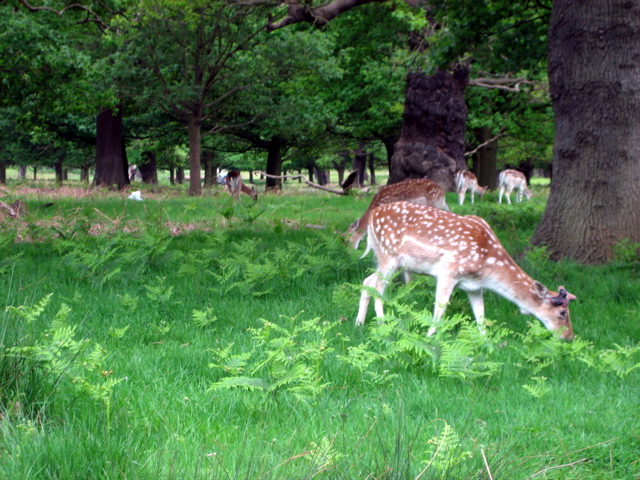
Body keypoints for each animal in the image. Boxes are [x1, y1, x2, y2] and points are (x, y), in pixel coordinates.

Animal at [355, 202, 576, 341]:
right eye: (562, 313)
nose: (569, 337)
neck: (486, 268)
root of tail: (372, 216)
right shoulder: (448, 272)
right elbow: (440, 310)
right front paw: (429, 337)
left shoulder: (474, 286)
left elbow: (481, 316)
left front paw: (486, 342)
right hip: (389, 255)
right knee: (378, 287)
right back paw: (382, 325)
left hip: (387, 259)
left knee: (367, 280)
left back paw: (359, 323)